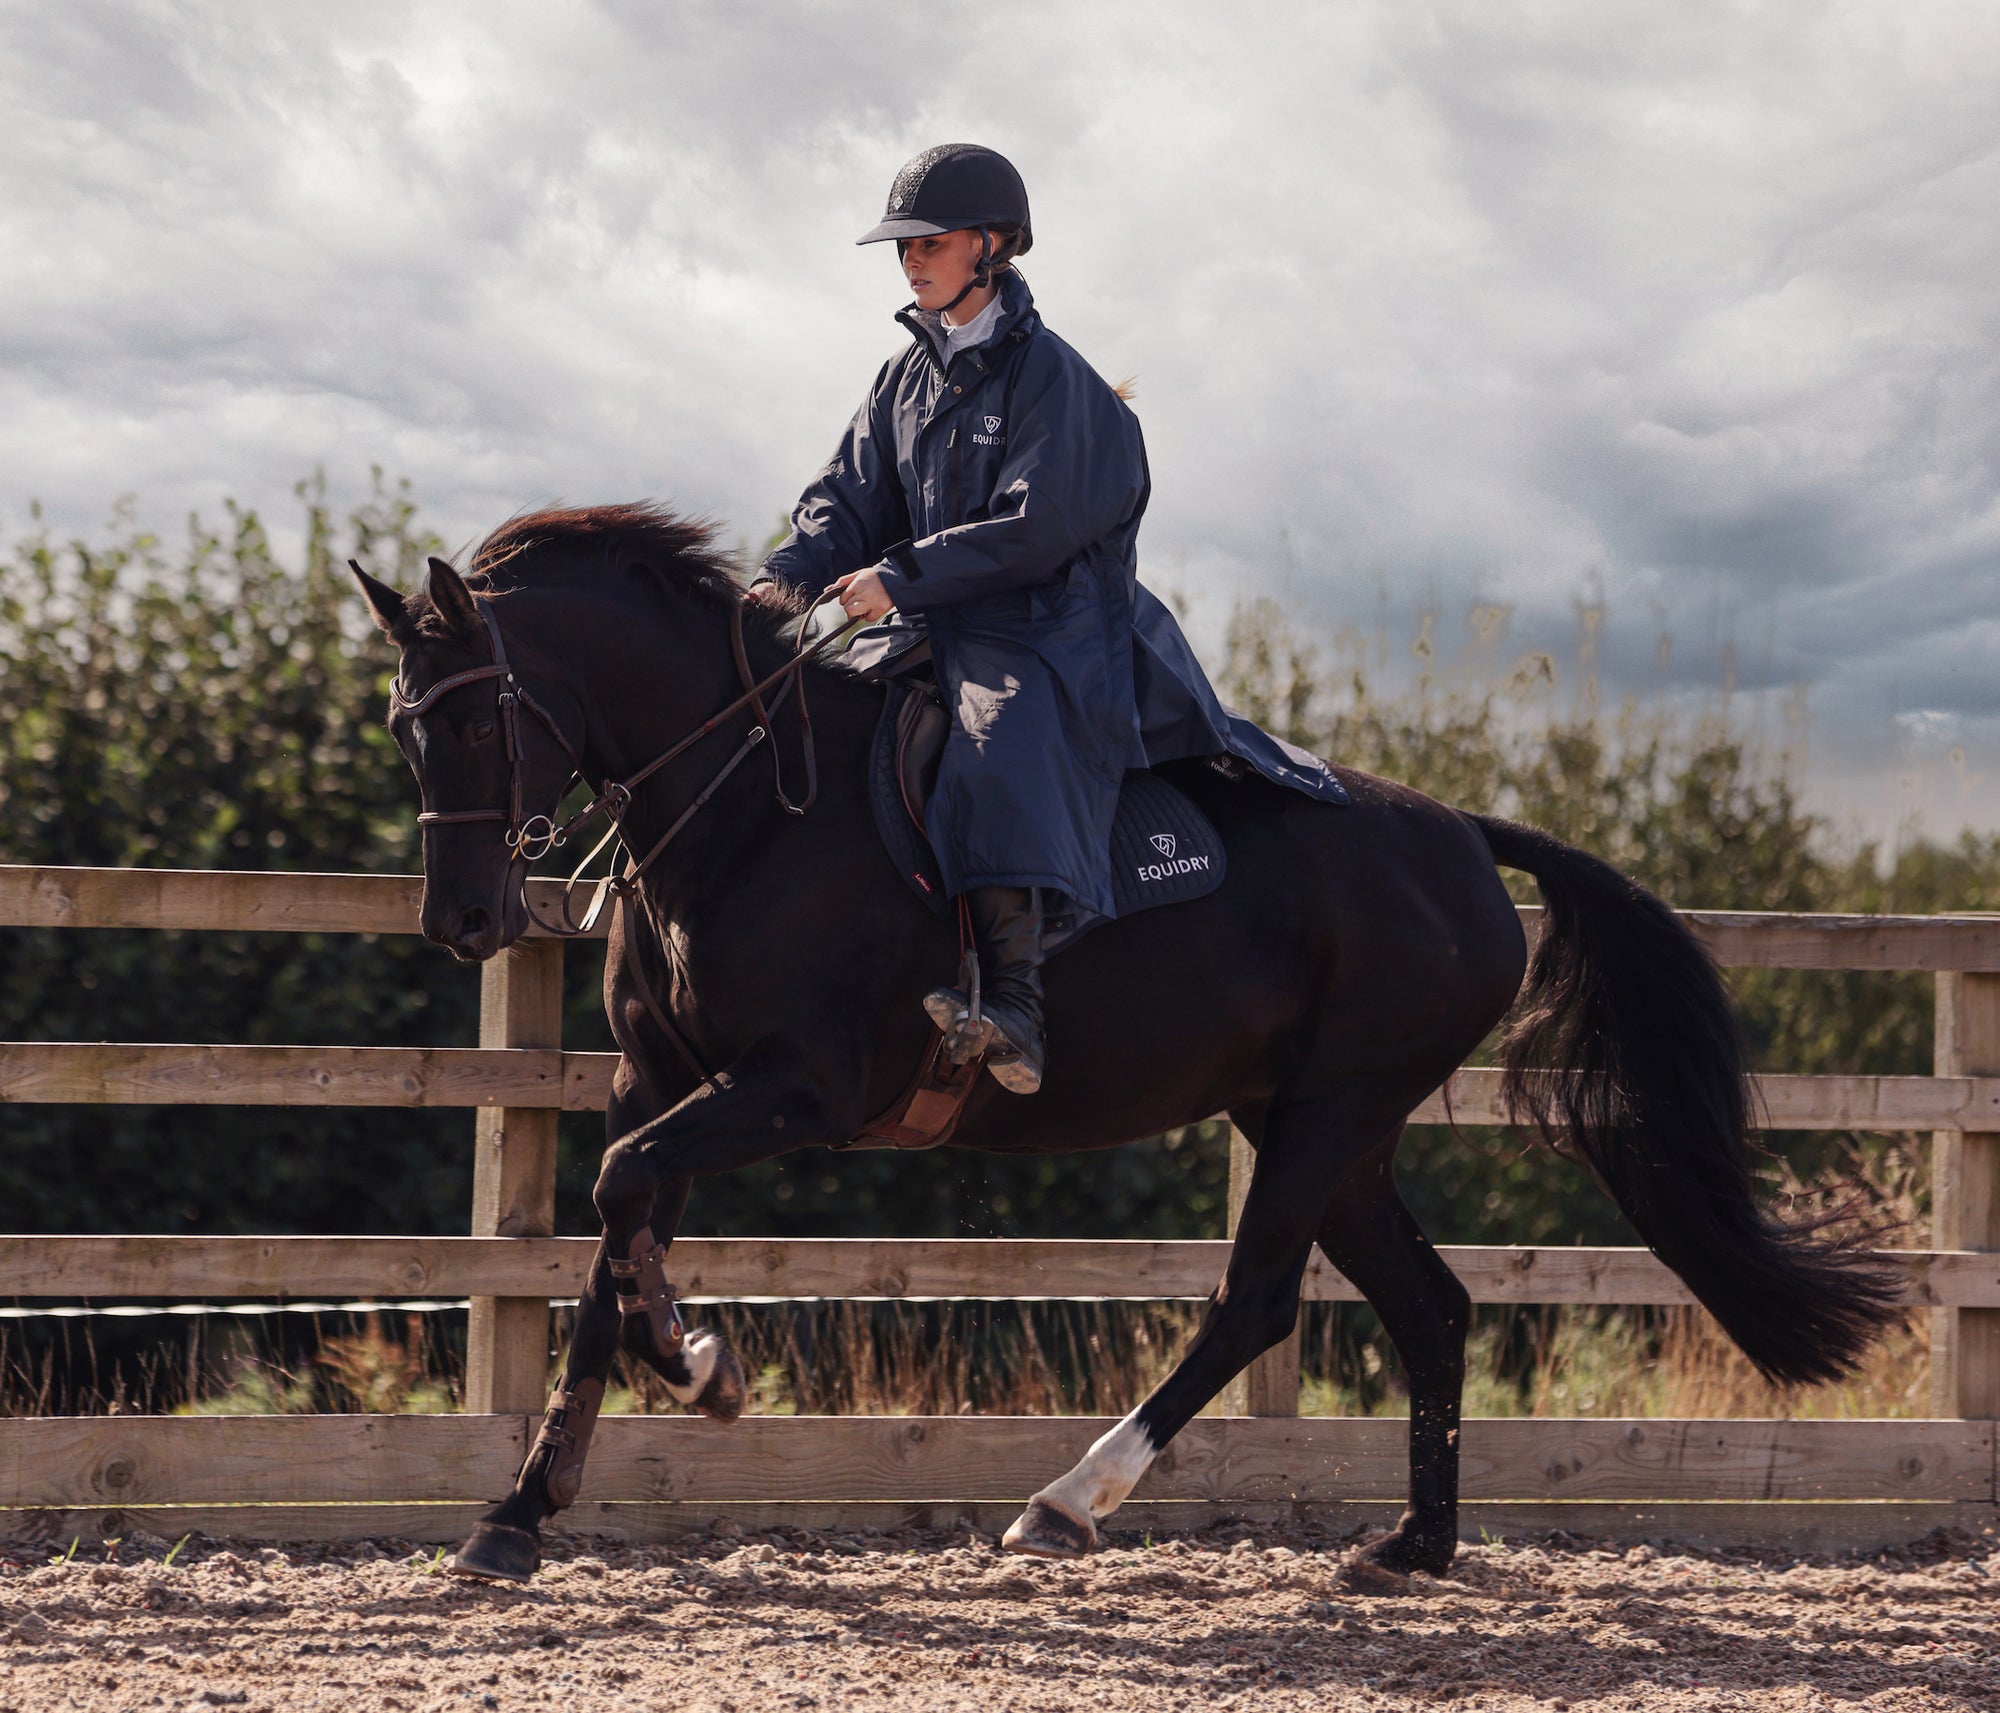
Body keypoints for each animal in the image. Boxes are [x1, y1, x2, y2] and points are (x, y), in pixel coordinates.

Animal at [352, 504, 1896, 1576]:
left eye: (480, 720)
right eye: (402, 727)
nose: (461, 917)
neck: (750, 810)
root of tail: (1463, 837)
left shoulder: (793, 1088)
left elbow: (622, 1208)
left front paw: (704, 1371)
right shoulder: (659, 1083)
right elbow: (613, 1250)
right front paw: (524, 1507)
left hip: (1331, 1115)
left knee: (1254, 1303)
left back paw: (1067, 1501)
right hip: (1318, 1125)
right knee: (1432, 1307)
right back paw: (1410, 1548)